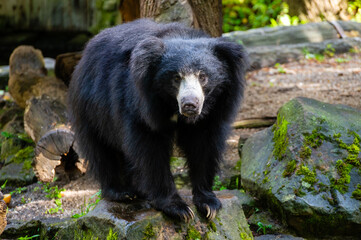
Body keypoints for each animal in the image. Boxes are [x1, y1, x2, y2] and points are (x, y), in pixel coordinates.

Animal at [67, 18, 248, 221]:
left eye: (203, 76)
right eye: (176, 78)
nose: (190, 104)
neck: (172, 108)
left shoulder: (214, 111)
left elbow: (203, 146)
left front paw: (209, 204)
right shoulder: (139, 104)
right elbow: (150, 149)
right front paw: (179, 209)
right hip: (91, 107)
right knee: (101, 149)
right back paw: (121, 192)